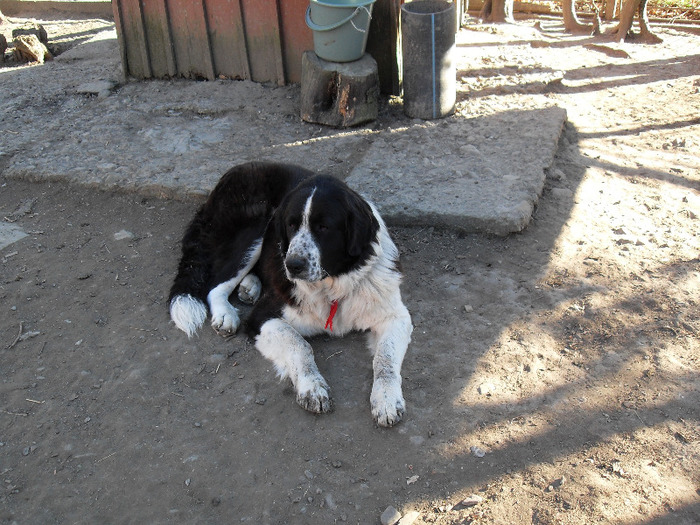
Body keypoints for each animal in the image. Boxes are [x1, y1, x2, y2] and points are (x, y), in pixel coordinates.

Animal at [169, 163, 410, 426]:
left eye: (323, 227)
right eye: (291, 225)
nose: (293, 265)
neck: (333, 287)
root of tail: (238, 169)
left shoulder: (396, 317)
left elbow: (385, 359)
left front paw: (386, 400)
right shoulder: (262, 318)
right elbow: (299, 344)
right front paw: (312, 387)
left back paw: (250, 286)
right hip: (255, 229)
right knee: (215, 285)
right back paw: (225, 314)